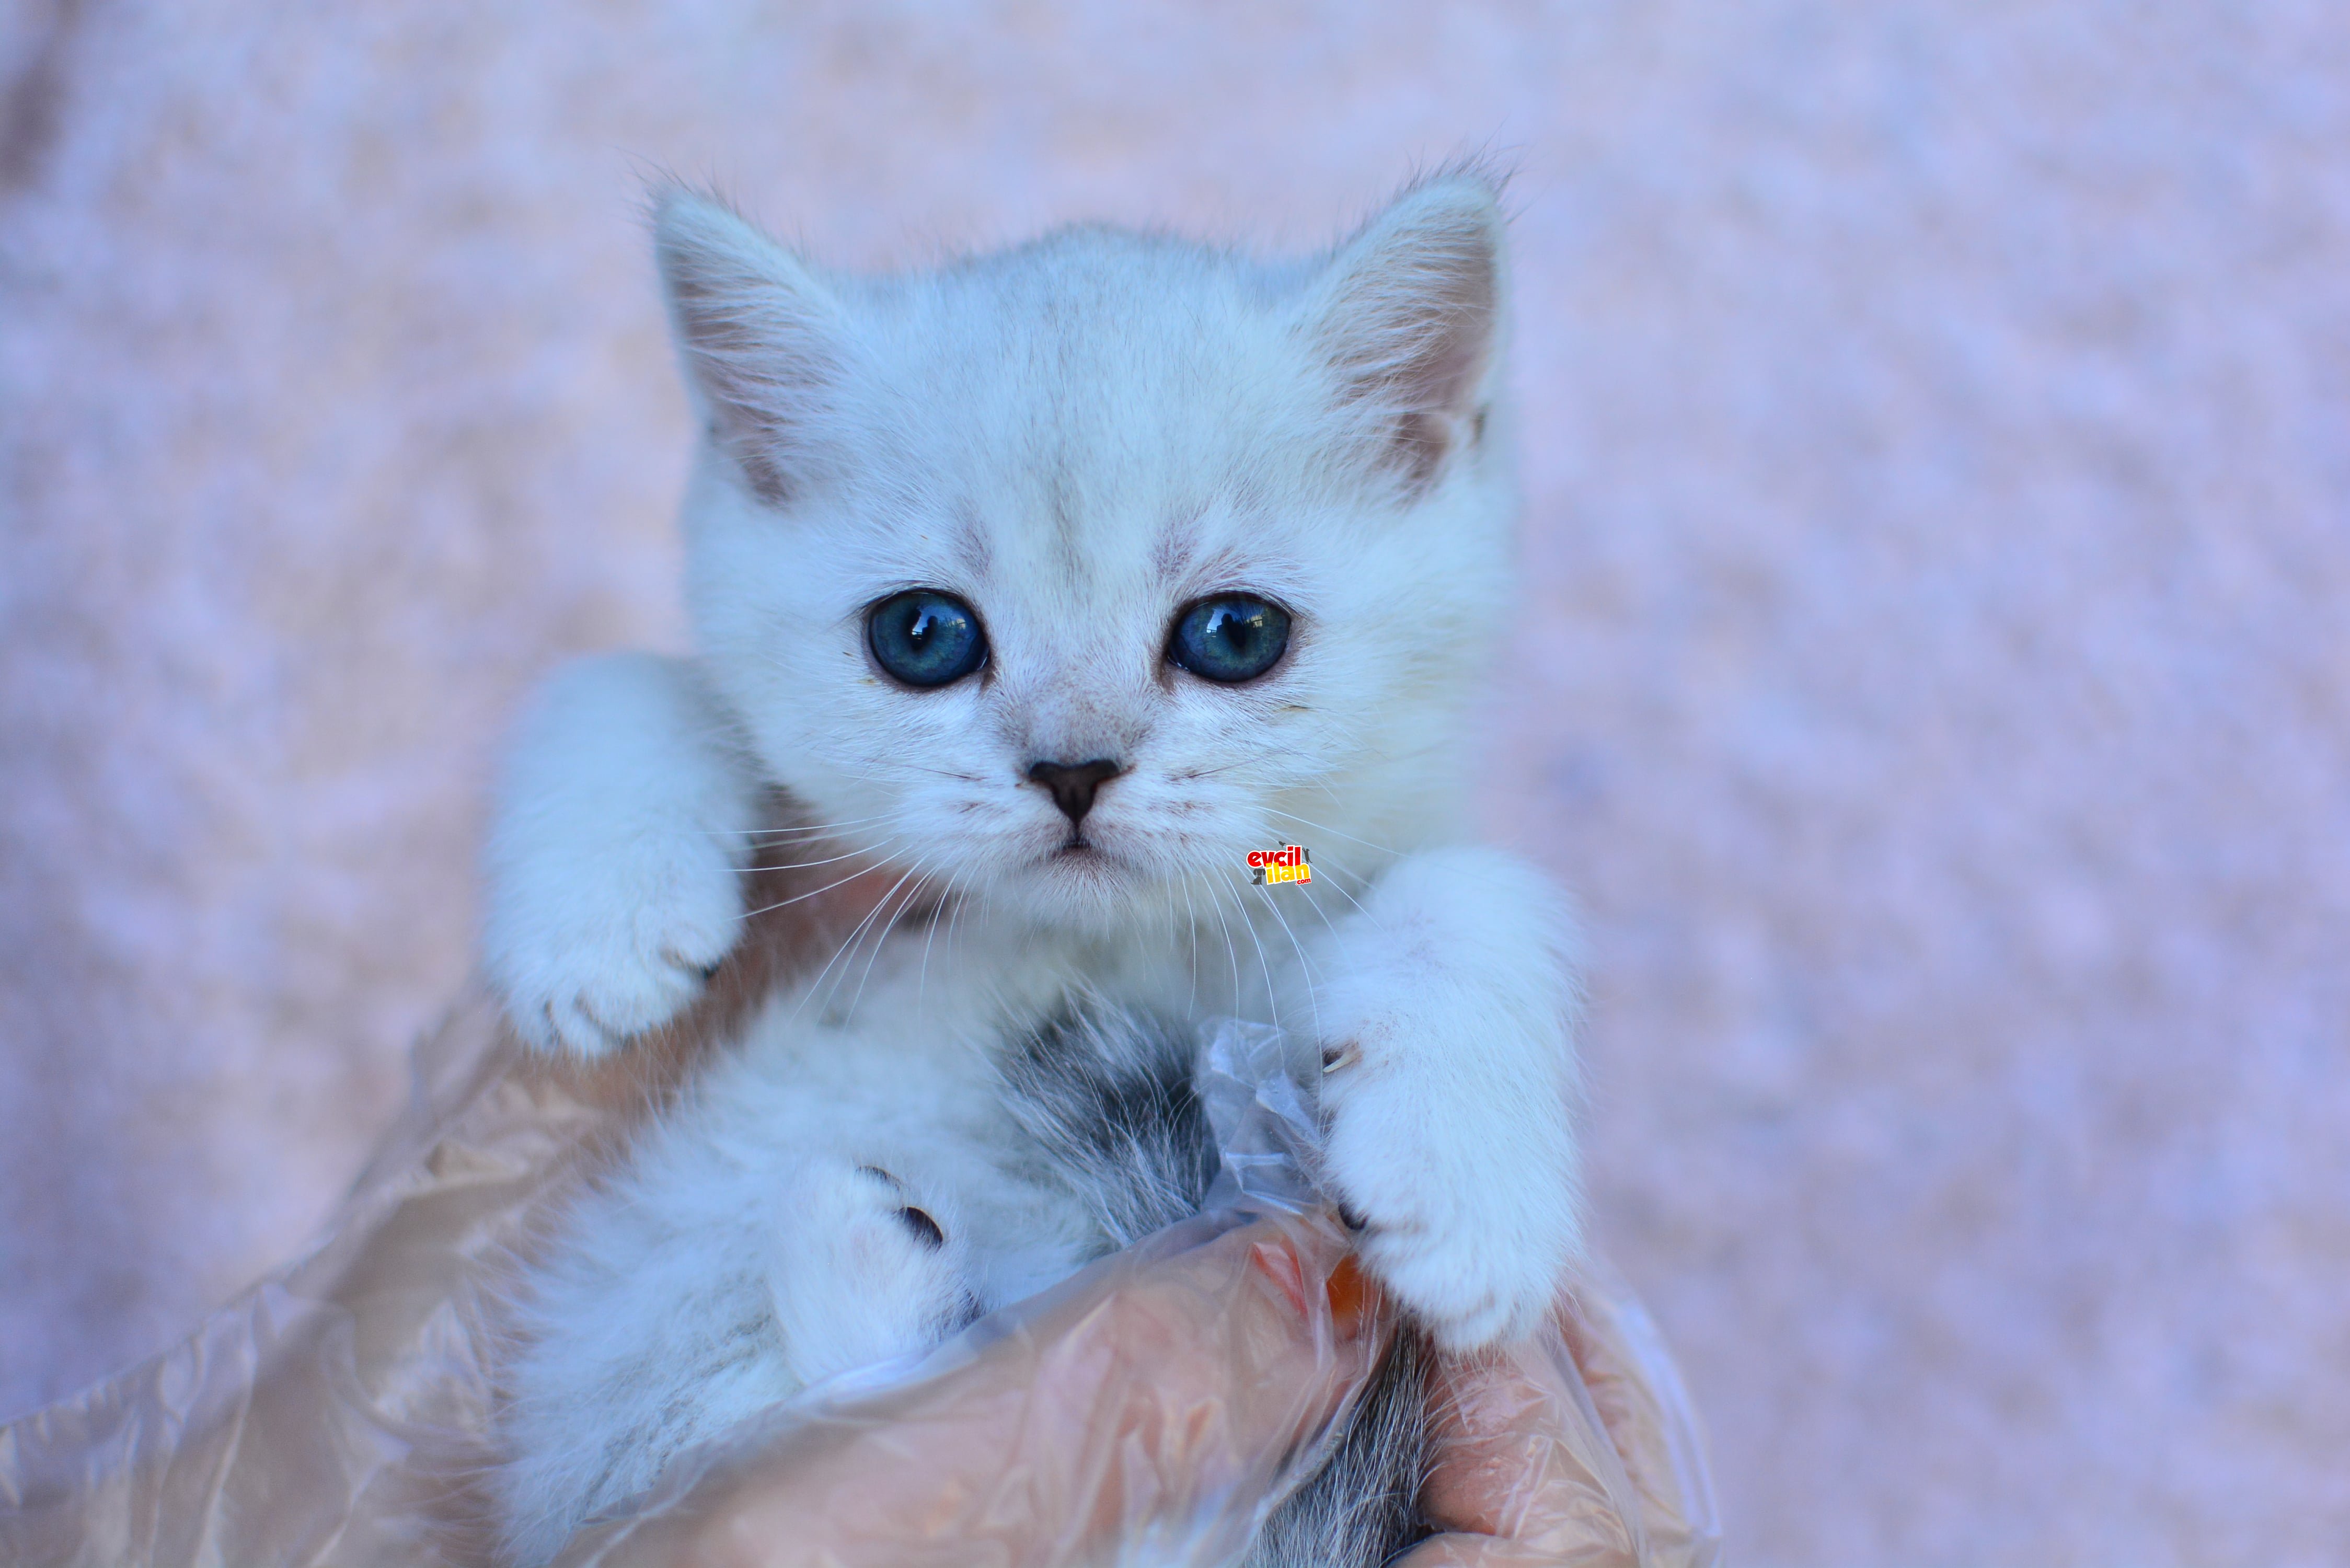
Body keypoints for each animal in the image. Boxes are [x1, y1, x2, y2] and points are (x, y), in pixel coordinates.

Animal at [484, 171, 1588, 1568]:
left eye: (1236, 633)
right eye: (922, 635)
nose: (1072, 767)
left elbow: (1473, 889)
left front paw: (1467, 1184)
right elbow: (626, 676)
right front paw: (600, 923)